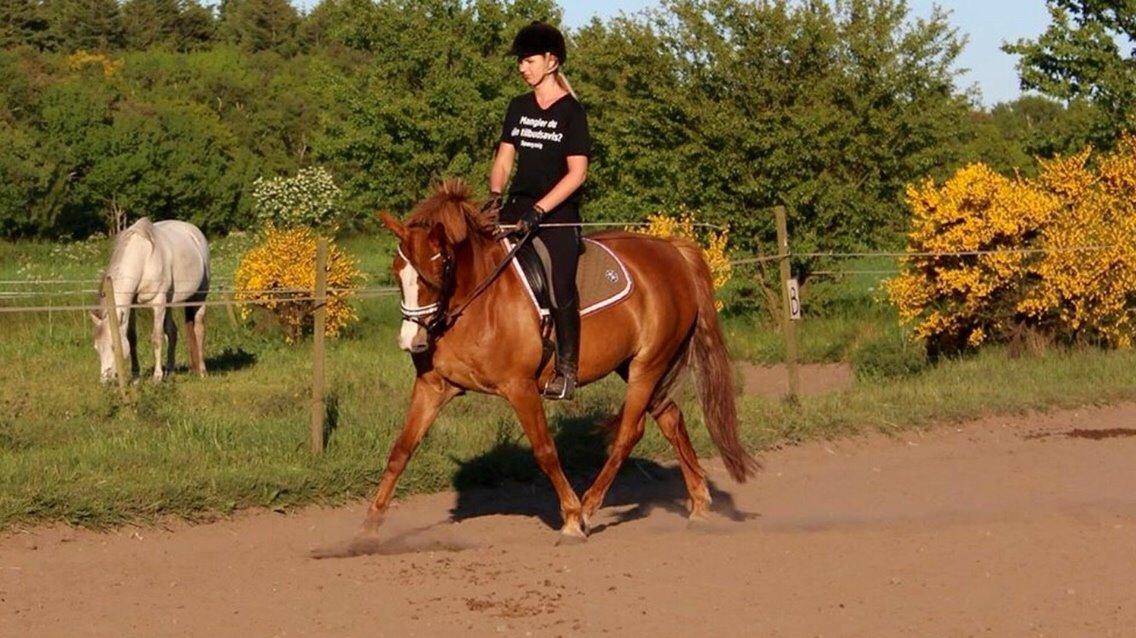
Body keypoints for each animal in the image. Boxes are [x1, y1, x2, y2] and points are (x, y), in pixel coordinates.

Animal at [91, 218, 211, 383]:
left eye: (114, 346)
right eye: (97, 348)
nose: (105, 380)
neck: (144, 259)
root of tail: (195, 232)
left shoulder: (158, 303)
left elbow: (157, 338)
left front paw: (157, 377)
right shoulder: (133, 307)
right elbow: (132, 338)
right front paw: (136, 376)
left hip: (199, 297)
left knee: (199, 330)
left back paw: (202, 371)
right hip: (169, 302)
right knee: (172, 332)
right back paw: (170, 371)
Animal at [362, 179, 757, 542]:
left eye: (442, 265)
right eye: (397, 269)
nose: (411, 341)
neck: (476, 302)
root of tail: (671, 250)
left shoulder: (520, 387)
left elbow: (545, 451)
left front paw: (570, 517)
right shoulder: (434, 386)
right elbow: (401, 449)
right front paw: (370, 527)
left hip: (649, 365)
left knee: (629, 433)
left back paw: (590, 507)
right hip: (635, 366)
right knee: (671, 418)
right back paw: (699, 504)